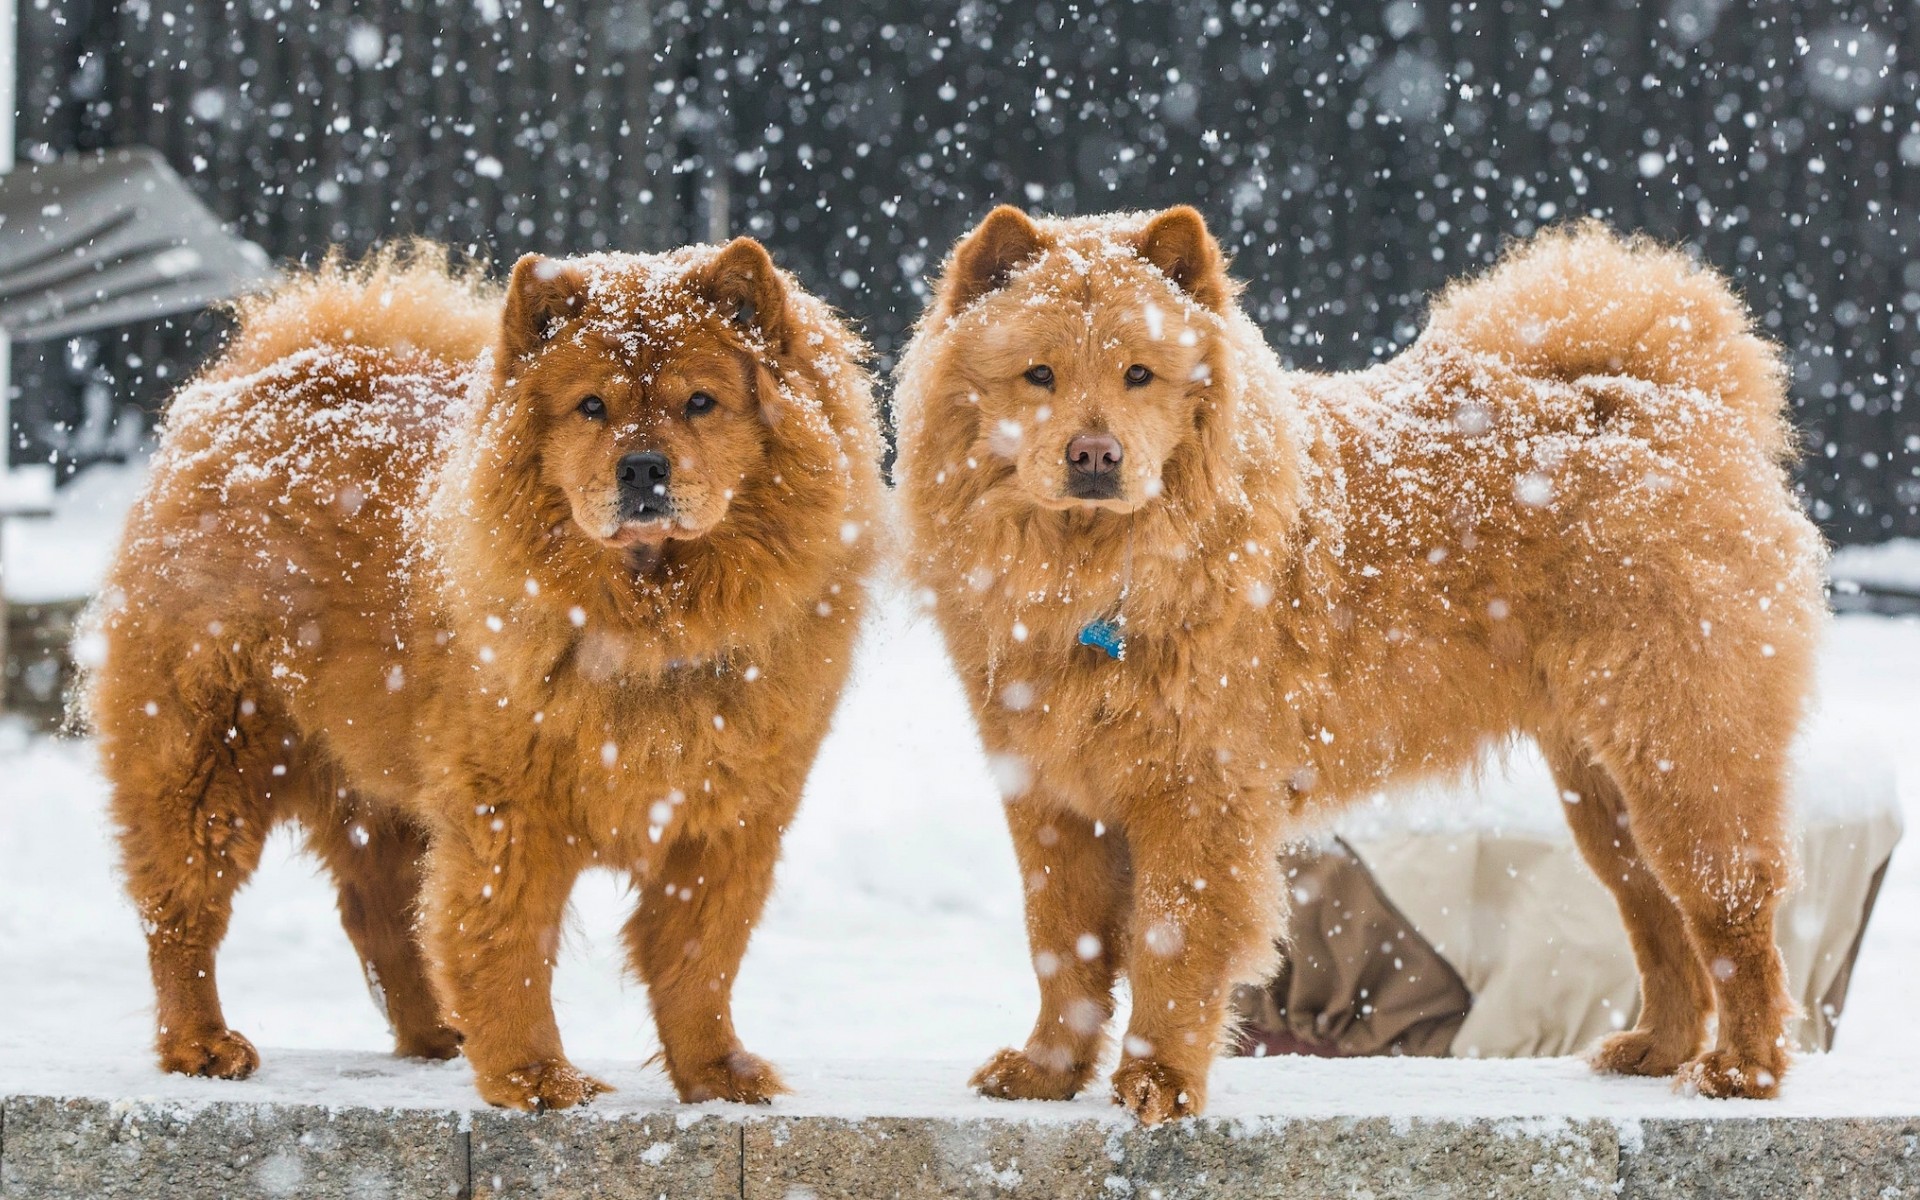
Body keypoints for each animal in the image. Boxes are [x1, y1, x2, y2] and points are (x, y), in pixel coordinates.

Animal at [82, 239, 879, 1105]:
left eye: (701, 402)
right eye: (591, 407)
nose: (642, 468)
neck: (649, 622)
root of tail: (259, 382)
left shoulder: (727, 819)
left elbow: (699, 958)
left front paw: (717, 1075)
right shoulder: (508, 809)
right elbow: (507, 945)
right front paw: (537, 1078)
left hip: (378, 790)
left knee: (382, 919)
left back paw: (437, 1037)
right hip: (209, 751)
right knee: (182, 911)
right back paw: (201, 1044)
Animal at [898, 208, 1827, 1121]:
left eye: (1138, 375)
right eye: (1039, 375)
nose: (1094, 454)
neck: (1090, 578)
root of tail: (1672, 395)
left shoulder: (1196, 793)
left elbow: (1170, 943)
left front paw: (1160, 1082)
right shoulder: (1050, 794)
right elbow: (1065, 946)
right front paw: (1045, 1073)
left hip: (1682, 759)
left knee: (1732, 917)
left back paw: (1742, 1070)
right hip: (1603, 795)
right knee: (1657, 920)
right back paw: (1655, 1050)